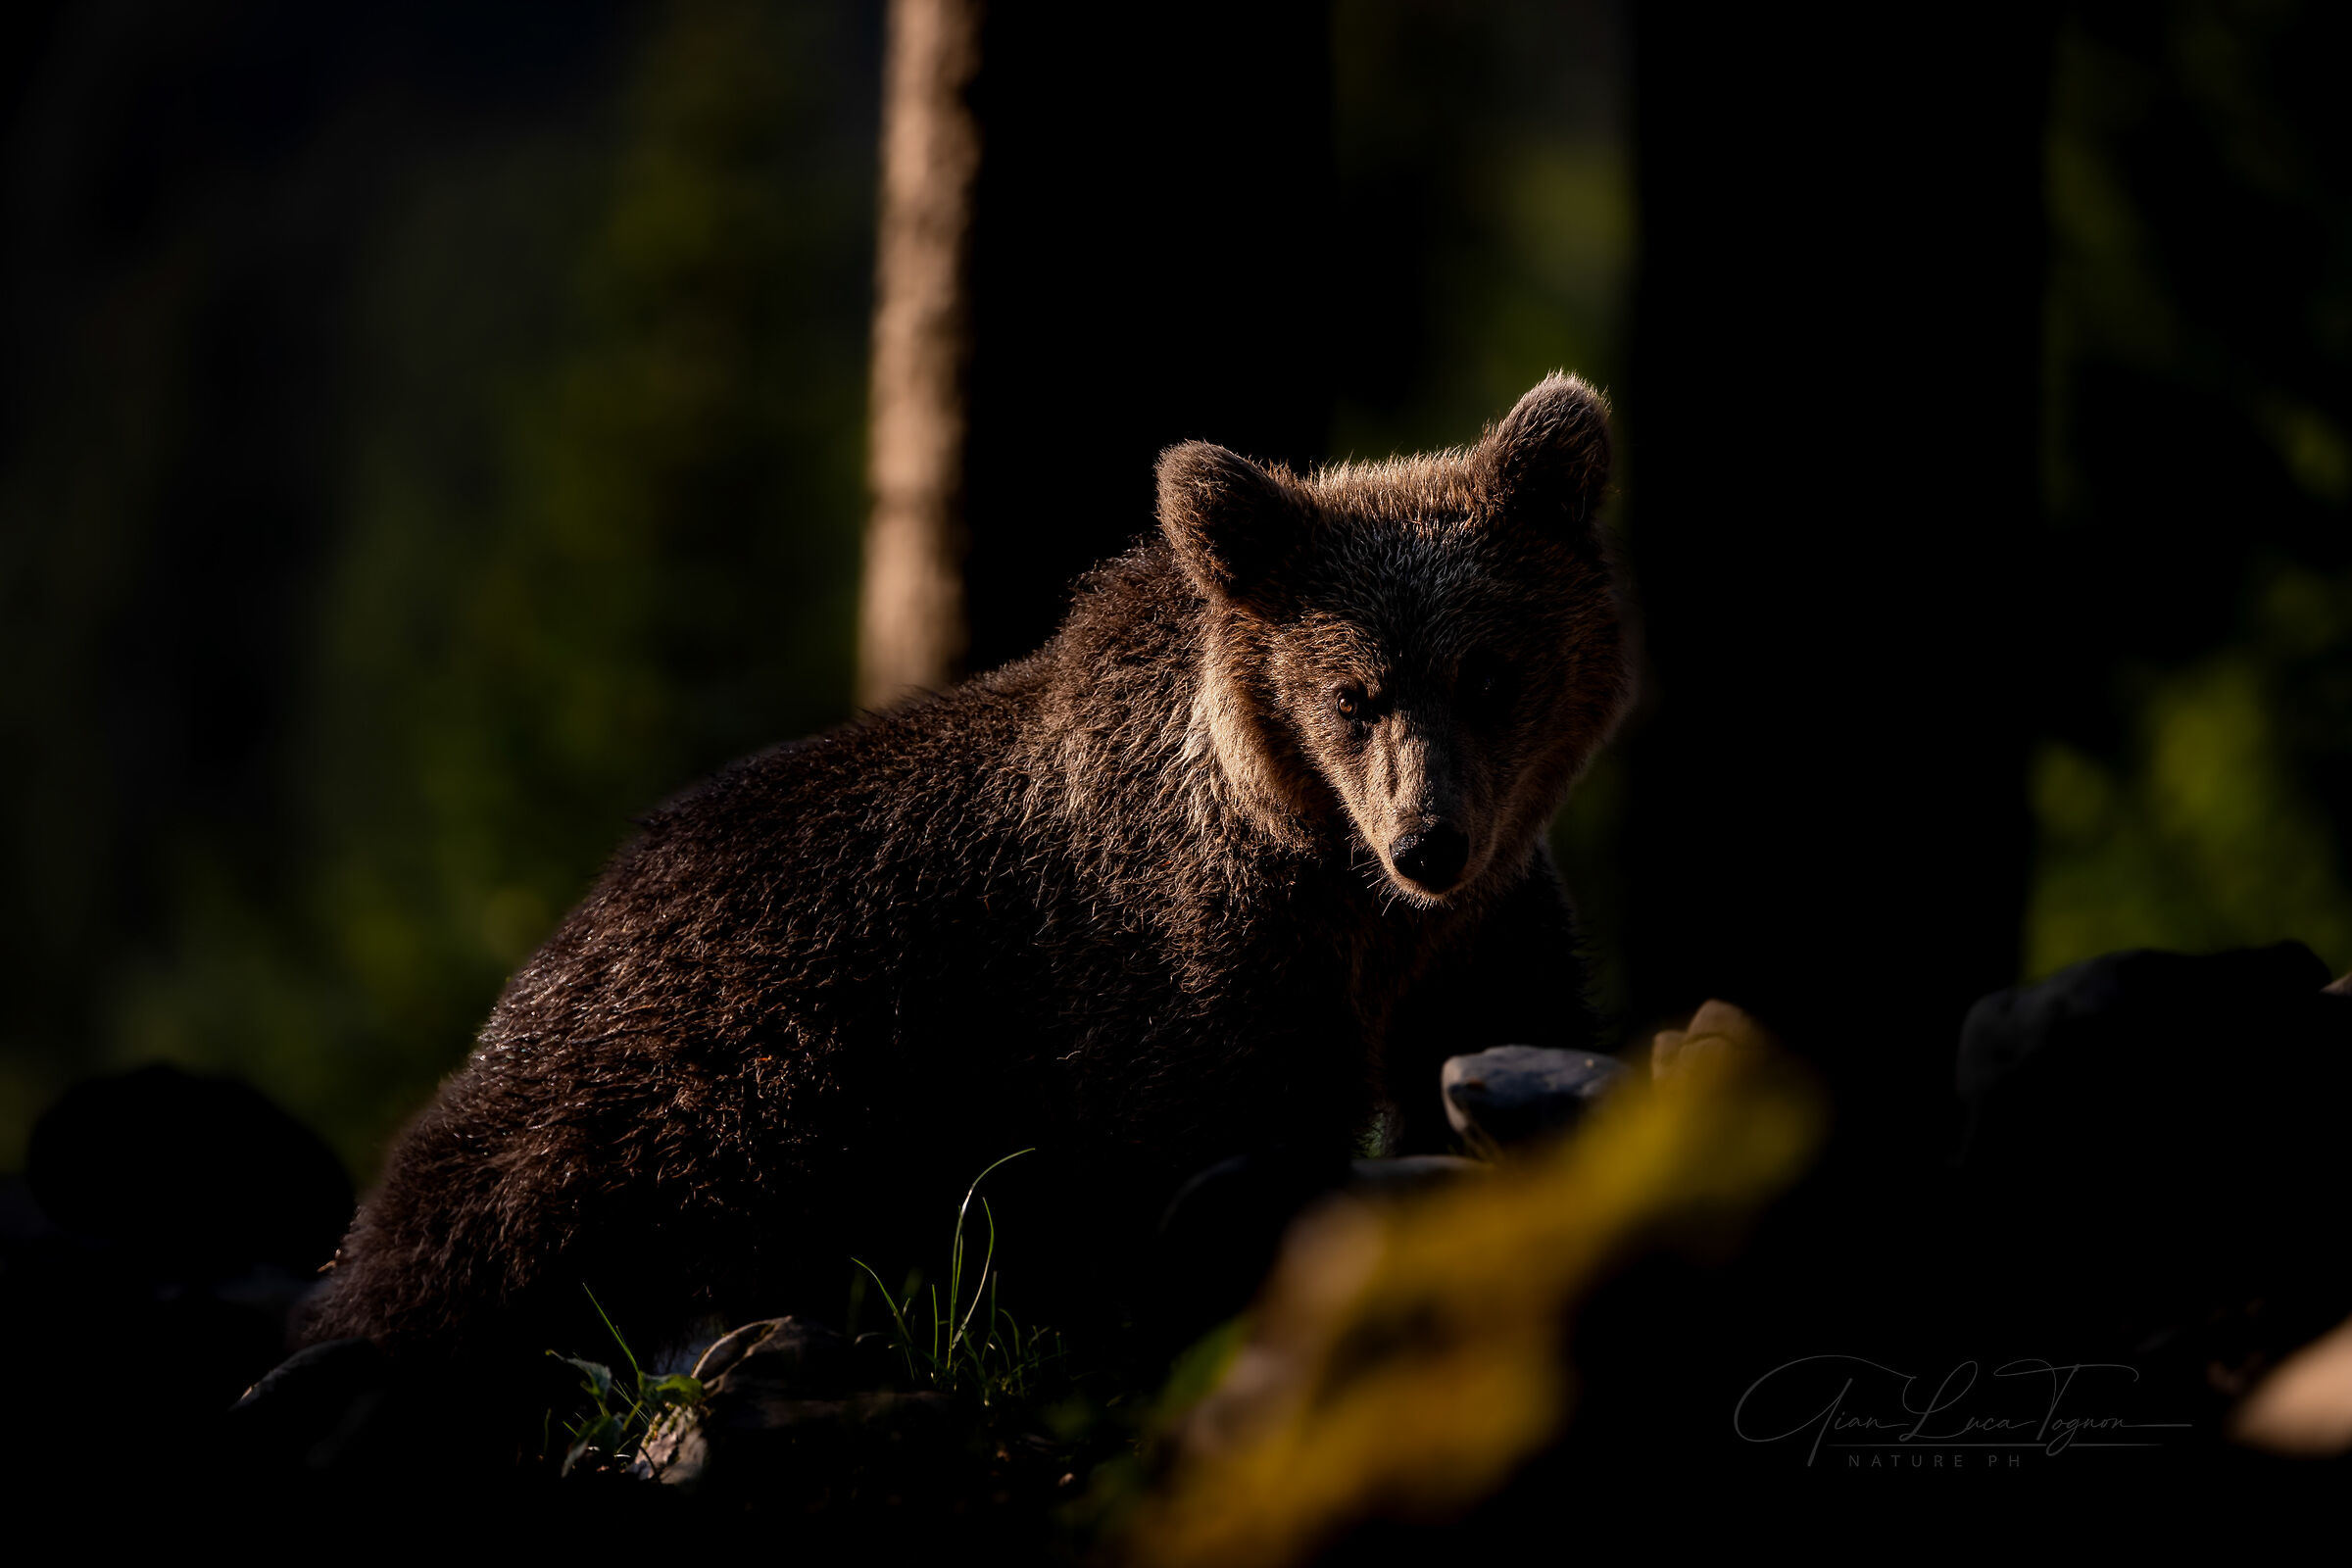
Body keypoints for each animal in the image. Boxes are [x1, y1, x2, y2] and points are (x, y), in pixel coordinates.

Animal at [305, 374, 1630, 1375]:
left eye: (1488, 672)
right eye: (1353, 693)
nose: (1429, 840)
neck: (1347, 890)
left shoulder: (1474, 933)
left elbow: (1505, 1041)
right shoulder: (1188, 958)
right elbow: (1201, 1141)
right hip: (721, 1066)